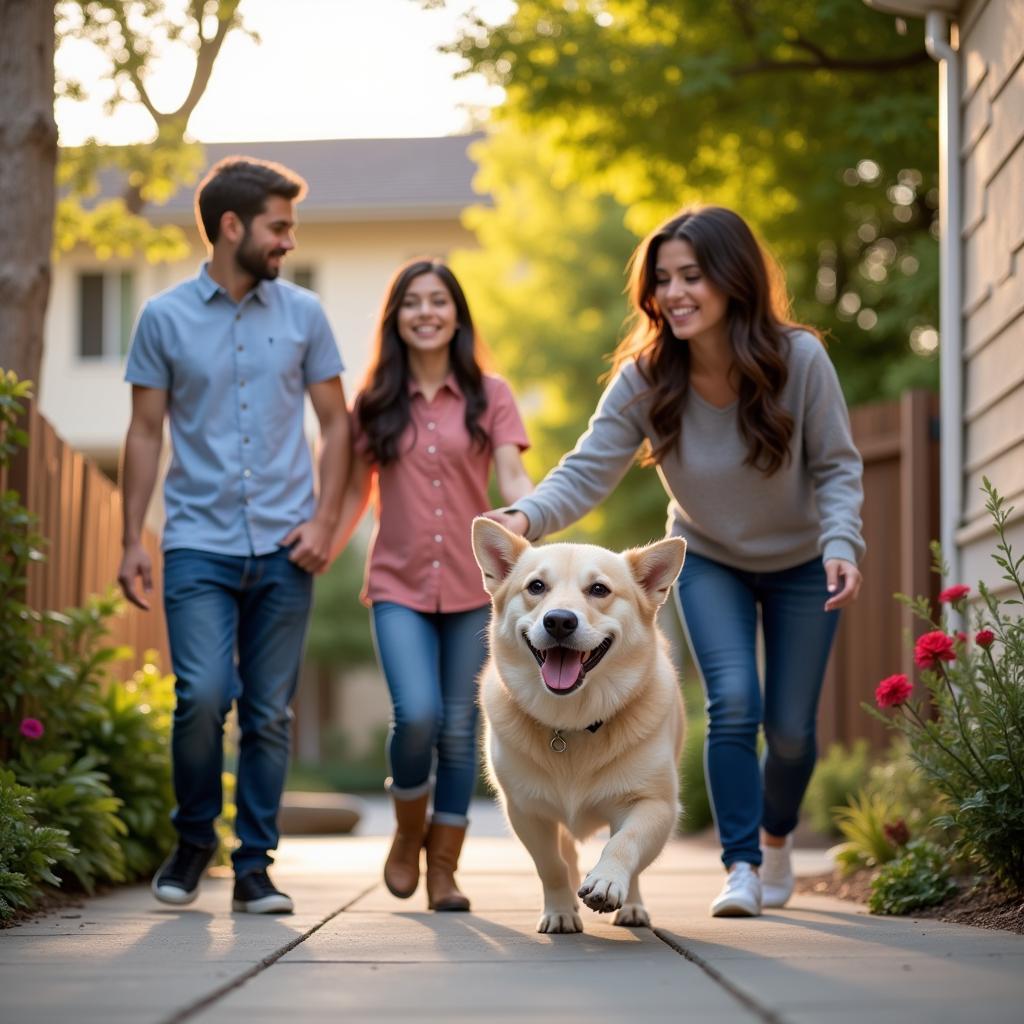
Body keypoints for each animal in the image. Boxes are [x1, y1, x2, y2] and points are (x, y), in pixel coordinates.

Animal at [473, 520, 688, 937]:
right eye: (536, 586)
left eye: (599, 589)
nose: (559, 620)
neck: (571, 722)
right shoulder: (525, 811)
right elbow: (551, 865)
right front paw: (560, 911)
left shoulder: (656, 804)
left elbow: (624, 844)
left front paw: (606, 882)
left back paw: (632, 906)